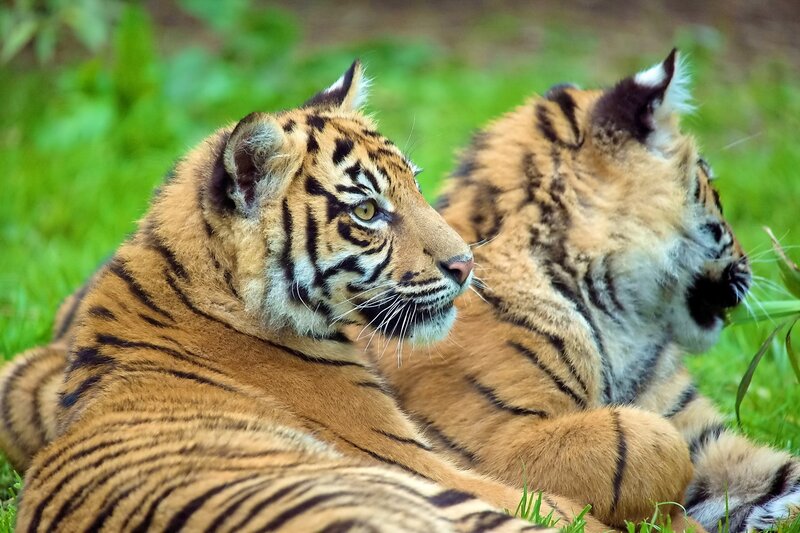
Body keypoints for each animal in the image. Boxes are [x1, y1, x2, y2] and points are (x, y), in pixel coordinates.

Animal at [369, 50, 800, 531]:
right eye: (712, 187)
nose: (750, 265)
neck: (622, 322)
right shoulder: (498, 441)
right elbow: (649, 447)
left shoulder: (705, 437)